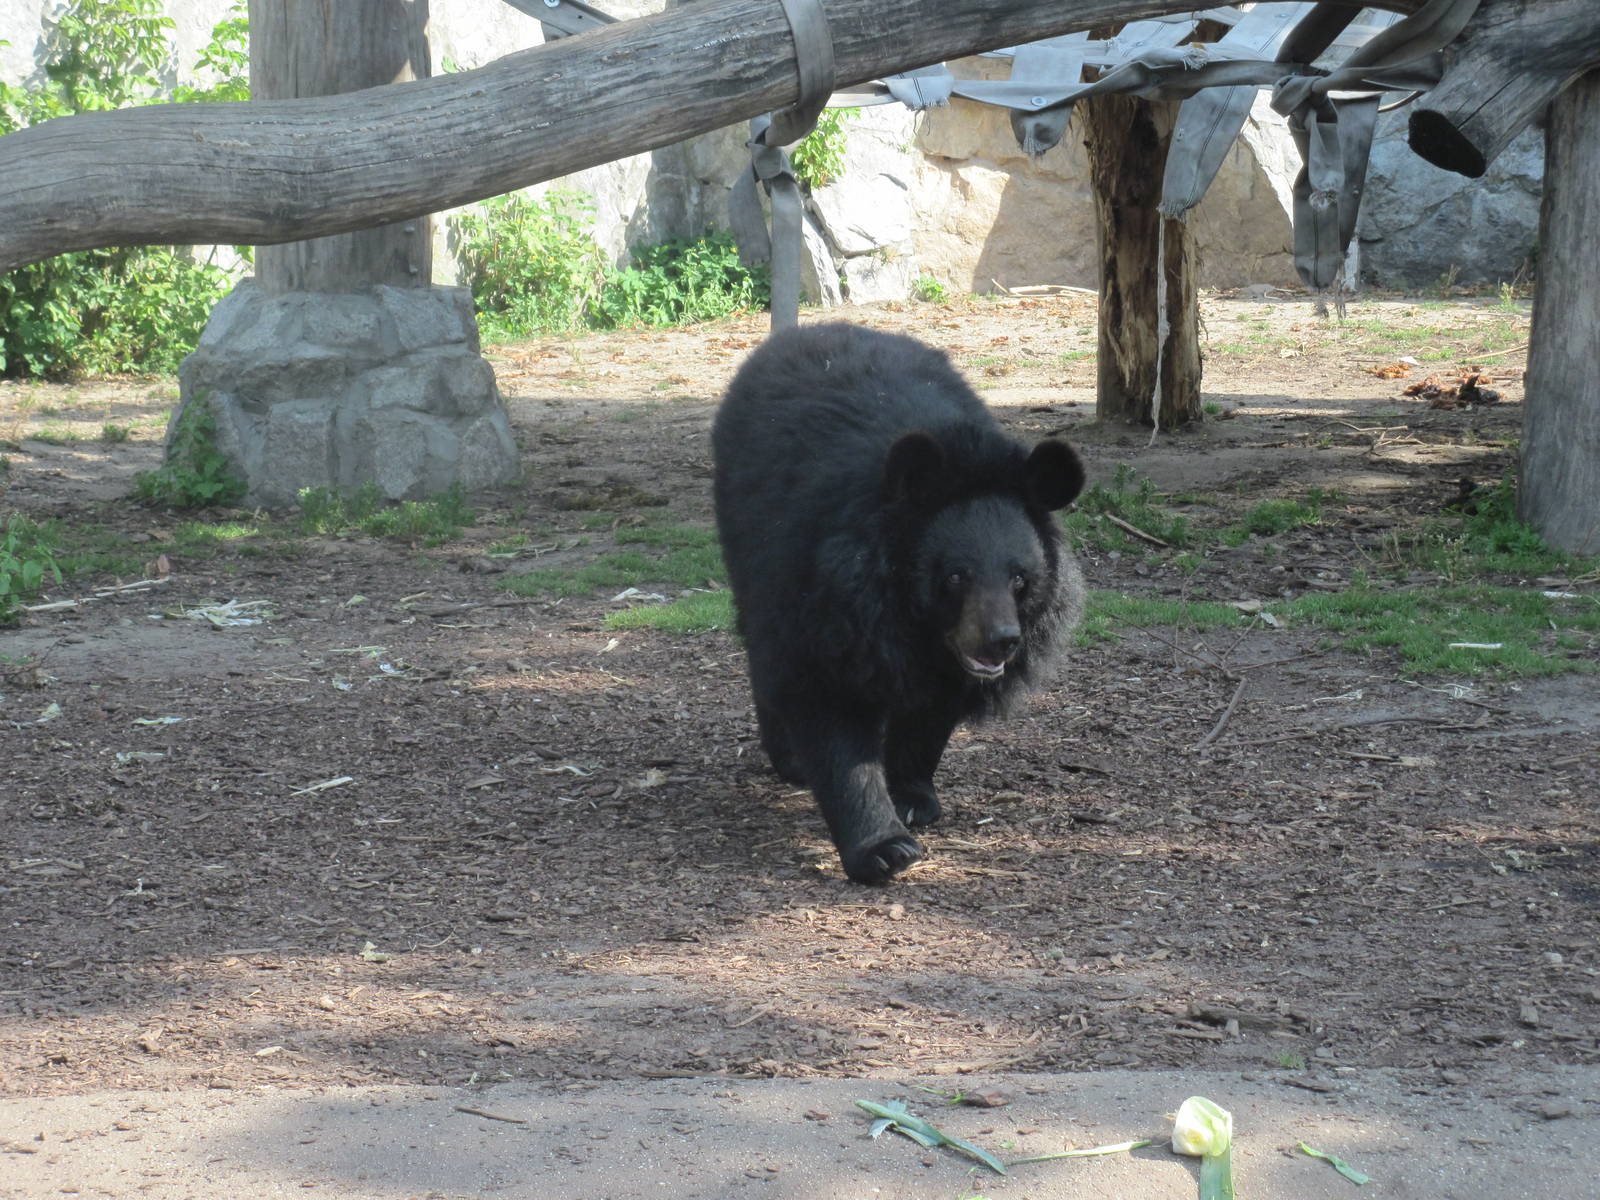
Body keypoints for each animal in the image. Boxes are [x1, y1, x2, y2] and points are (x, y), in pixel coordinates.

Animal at [712, 322, 1086, 884]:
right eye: (956, 575)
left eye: (1020, 578)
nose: (1001, 642)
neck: (907, 617)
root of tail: (807, 330)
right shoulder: (823, 597)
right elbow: (827, 709)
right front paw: (885, 849)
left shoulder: (949, 658)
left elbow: (930, 717)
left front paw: (913, 799)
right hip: (743, 534)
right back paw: (788, 757)